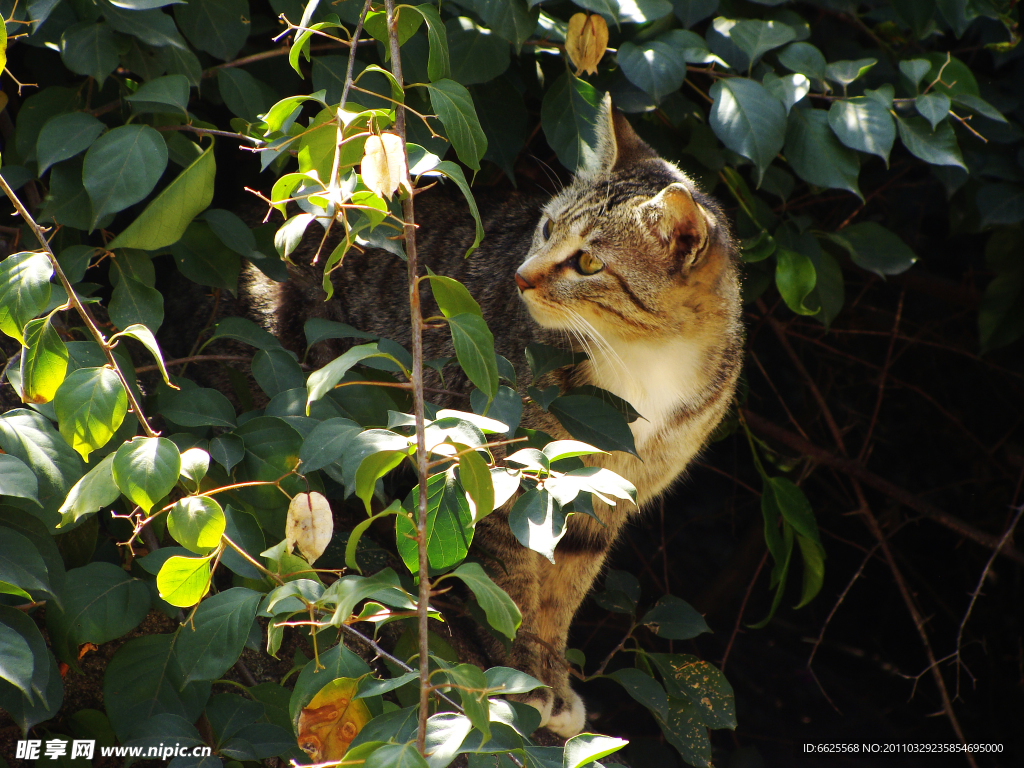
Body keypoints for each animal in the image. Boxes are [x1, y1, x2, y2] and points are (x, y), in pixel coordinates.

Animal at [248, 97, 745, 741]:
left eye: (588, 262)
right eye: (547, 228)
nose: (521, 276)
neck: (644, 362)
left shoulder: (607, 497)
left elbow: (563, 593)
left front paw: (551, 672)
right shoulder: (501, 471)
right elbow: (513, 587)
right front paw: (524, 674)